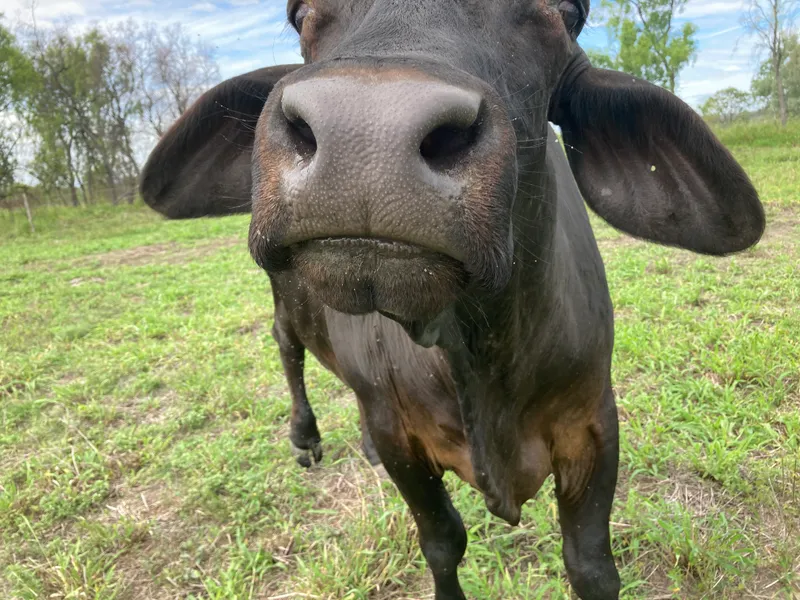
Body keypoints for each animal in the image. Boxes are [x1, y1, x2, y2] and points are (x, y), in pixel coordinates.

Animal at [140, 1, 765, 597]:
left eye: (567, 12)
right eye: (299, 14)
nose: (367, 130)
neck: (481, 350)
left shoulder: (593, 422)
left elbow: (592, 567)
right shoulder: (401, 436)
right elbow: (442, 543)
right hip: (285, 298)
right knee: (287, 347)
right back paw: (305, 437)